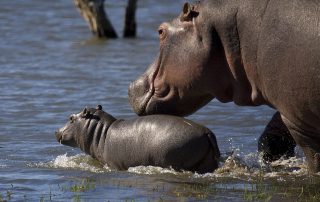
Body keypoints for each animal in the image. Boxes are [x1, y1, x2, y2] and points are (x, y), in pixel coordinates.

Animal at [55, 105, 220, 174]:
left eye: (71, 118)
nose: (56, 131)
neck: (102, 132)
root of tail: (207, 132)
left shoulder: (112, 165)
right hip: (207, 162)